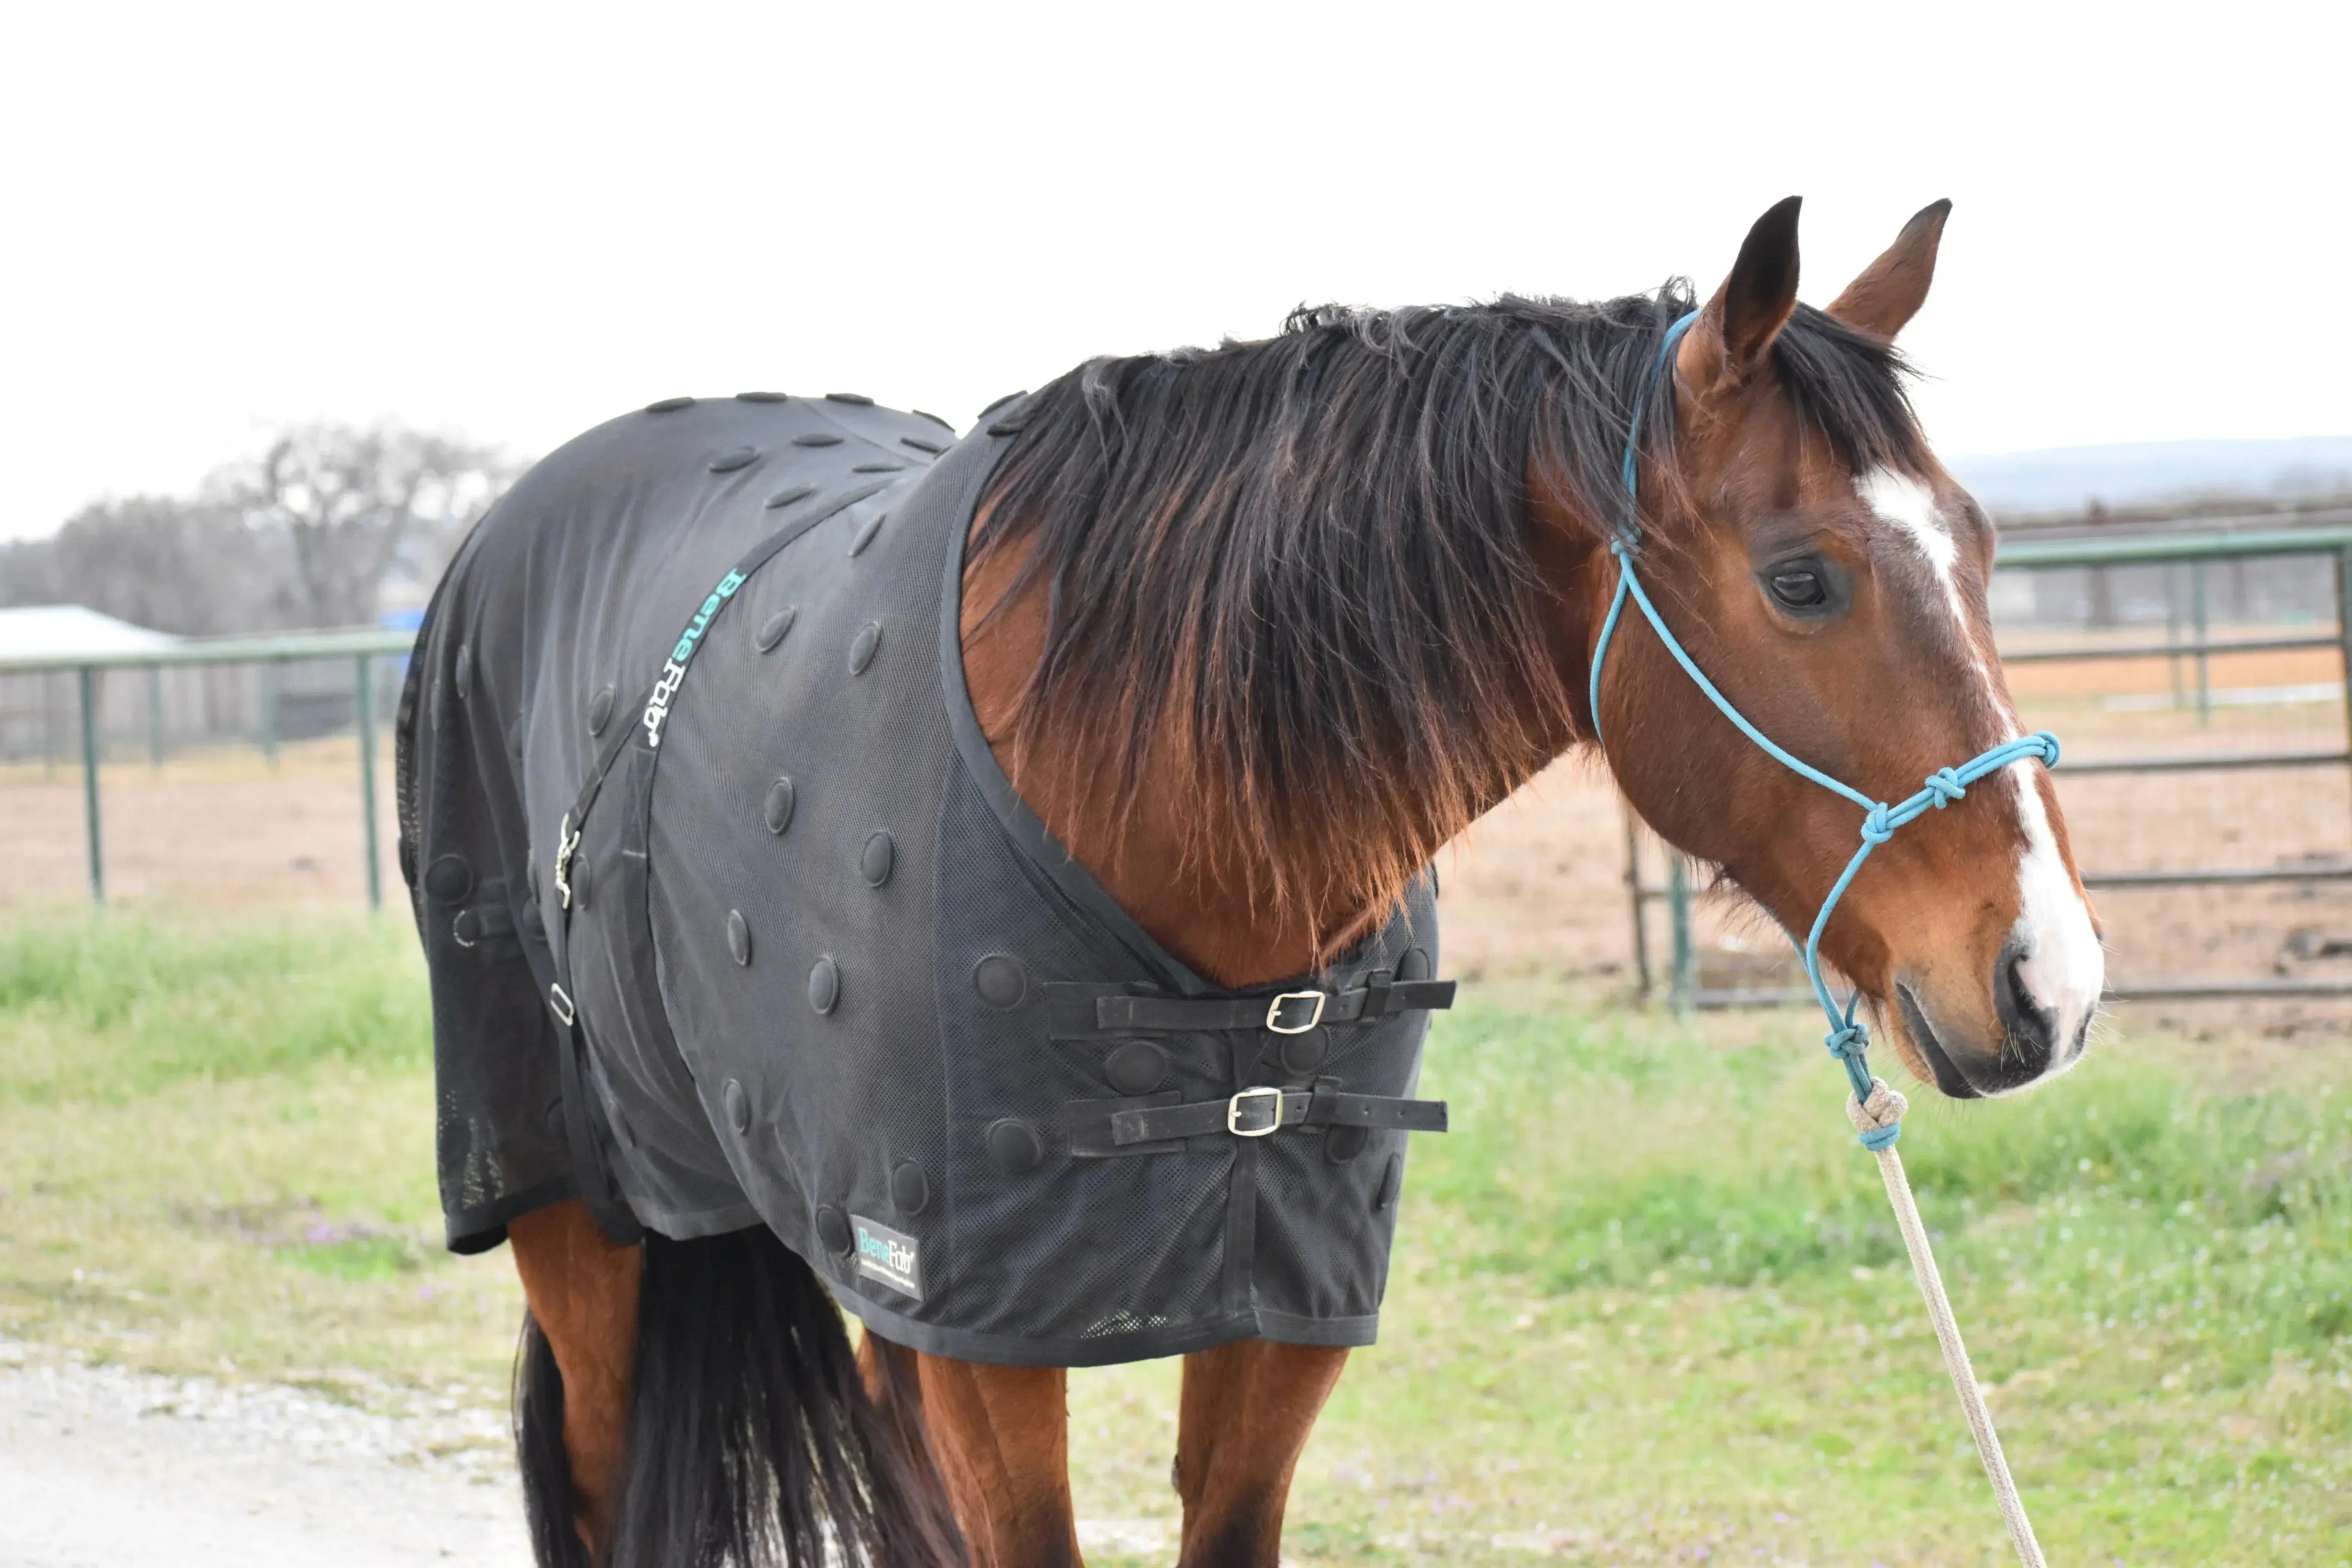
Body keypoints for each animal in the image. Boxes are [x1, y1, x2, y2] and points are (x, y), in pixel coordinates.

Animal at [394, 195, 2103, 1567]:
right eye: (1803, 579)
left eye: (1978, 550)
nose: (2054, 983)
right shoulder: (976, 1338)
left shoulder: (1272, 1322)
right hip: (575, 1218)